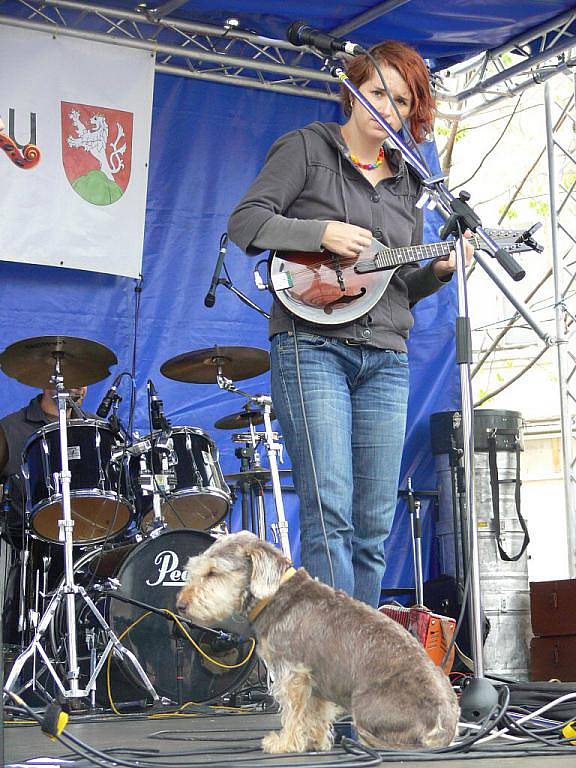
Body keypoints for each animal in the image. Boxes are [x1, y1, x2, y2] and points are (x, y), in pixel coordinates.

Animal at [176, 532, 460, 752]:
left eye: (213, 572)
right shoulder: (316, 679)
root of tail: (444, 728)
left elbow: (292, 712)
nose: (180, 605)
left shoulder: (291, 674)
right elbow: (316, 714)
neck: (276, 595)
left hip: (364, 707)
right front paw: (315, 741)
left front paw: (284, 743)